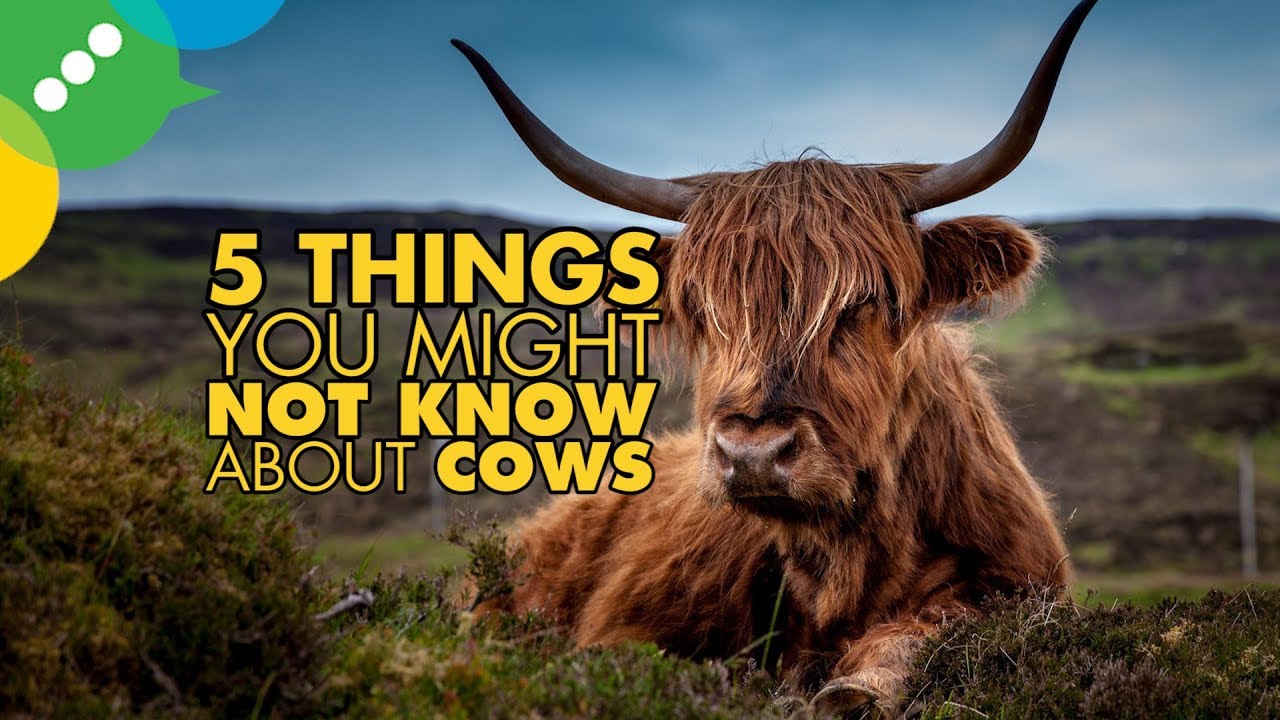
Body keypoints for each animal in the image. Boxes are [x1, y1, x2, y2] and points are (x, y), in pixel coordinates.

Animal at [451, 1, 1096, 715]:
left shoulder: (1016, 583)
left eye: (866, 300)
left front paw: (855, 689)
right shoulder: (627, 630)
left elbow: (929, 628)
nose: (753, 453)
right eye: (703, 307)